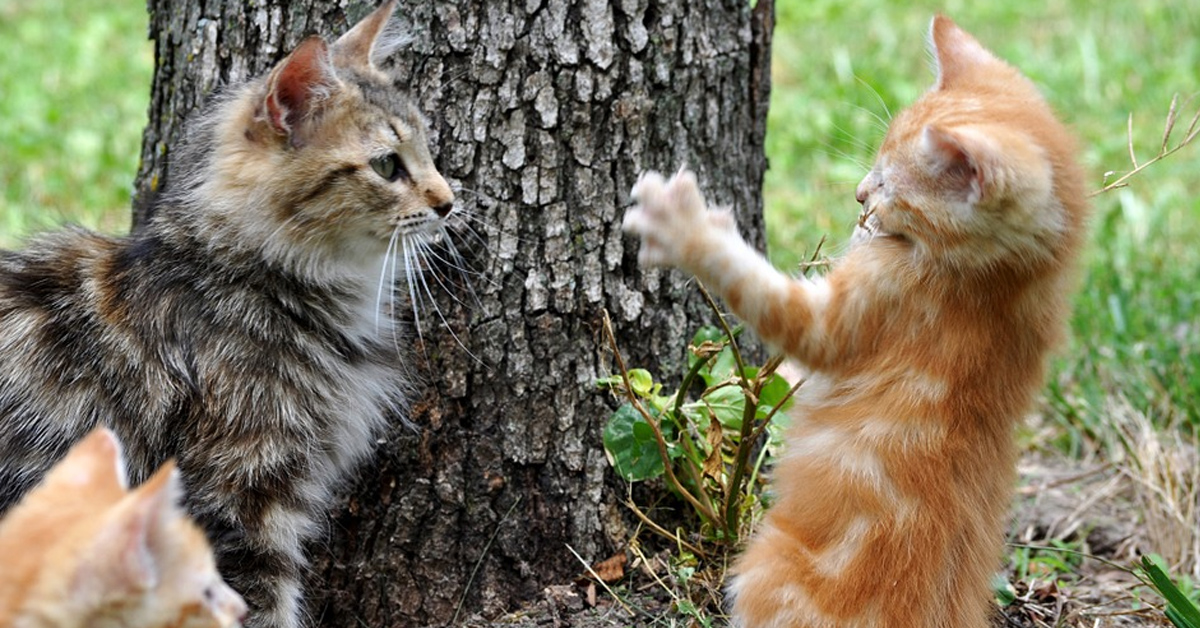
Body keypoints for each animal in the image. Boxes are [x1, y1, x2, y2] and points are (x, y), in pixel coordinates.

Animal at [628, 15, 1089, 628]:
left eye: (889, 183)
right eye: (875, 164)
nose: (859, 194)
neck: (1007, 286)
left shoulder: (870, 307)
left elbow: (770, 302)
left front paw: (683, 229)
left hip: (765, 569)